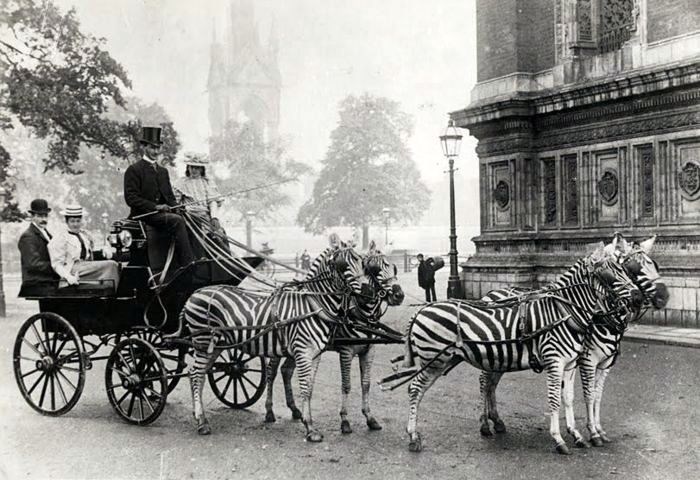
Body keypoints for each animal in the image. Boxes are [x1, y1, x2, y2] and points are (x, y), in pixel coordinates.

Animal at [182, 236, 376, 442]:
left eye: (362, 262)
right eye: (342, 265)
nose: (368, 291)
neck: (313, 305)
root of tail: (195, 293)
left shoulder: (315, 354)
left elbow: (310, 388)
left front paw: (308, 422)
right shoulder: (303, 352)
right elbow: (304, 388)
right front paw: (310, 428)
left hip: (216, 346)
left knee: (198, 374)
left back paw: (198, 415)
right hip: (203, 343)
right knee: (196, 374)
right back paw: (202, 422)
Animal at [264, 241, 405, 434]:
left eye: (394, 267)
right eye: (374, 269)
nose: (399, 295)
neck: (361, 314)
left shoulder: (369, 350)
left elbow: (366, 384)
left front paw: (370, 418)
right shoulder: (346, 351)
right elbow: (346, 385)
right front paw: (345, 421)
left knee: (286, 371)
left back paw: (295, 410)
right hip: (278, 346)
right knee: (271, 373)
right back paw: (269, 411)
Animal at [398, 243, 644, 454]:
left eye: (627, 271)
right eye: (610, 274)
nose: (638, 297)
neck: (564, 312)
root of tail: (421, 310)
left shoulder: (571, 364)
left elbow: (569, 398)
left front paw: (576, 435)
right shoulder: (558, 362)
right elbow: (556, 399)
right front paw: (559, 439)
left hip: (466, 358)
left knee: (475, 384)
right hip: (435, 360)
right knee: (415, 389)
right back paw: (414, 437)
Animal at [480, 235, 668, 449]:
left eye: (655, 265)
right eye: (634, 269)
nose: (664, 297)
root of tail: (490, 294)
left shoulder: (605, 364)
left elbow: (597, 396)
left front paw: (598, 430)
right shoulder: (587, 361)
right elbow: (588, 395)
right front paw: (593, 433)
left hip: (503, 356)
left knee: (492, 383)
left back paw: (497, 421)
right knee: (485, 382)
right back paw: (485, 424)